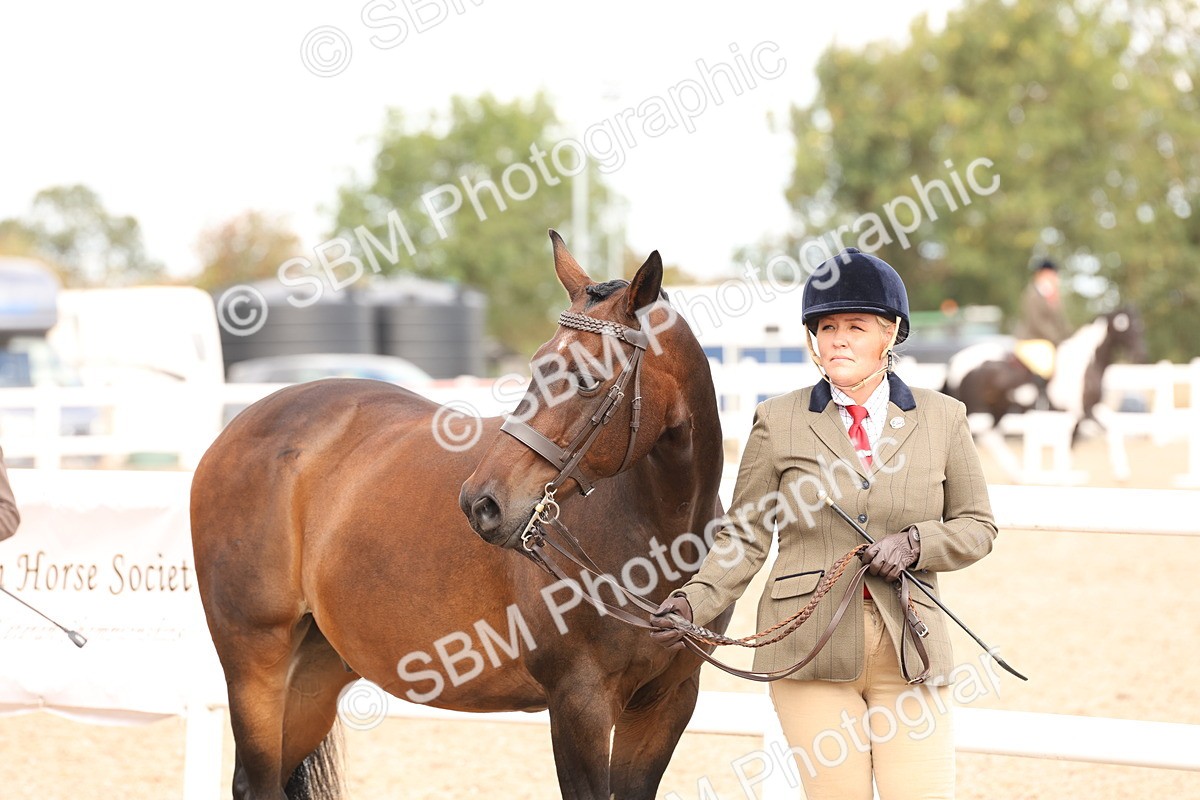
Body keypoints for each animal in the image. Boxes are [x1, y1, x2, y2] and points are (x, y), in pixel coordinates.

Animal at [190, 230, 731, 800]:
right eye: (536, 364)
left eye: (587, 378)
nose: (480, 503)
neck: (656, 531)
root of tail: (238, 424)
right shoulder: (578, 704)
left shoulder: (667, 703)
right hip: (255, 663)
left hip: (314, 673)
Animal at [941, 306, 1147, 437]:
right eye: (1126, 327)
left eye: (1141, 326)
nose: (1140, 355)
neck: (1086, 363)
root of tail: (956, 361)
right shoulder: (1082, 412)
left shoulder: (1084, 412)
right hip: (974, 409)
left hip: (998, 410)